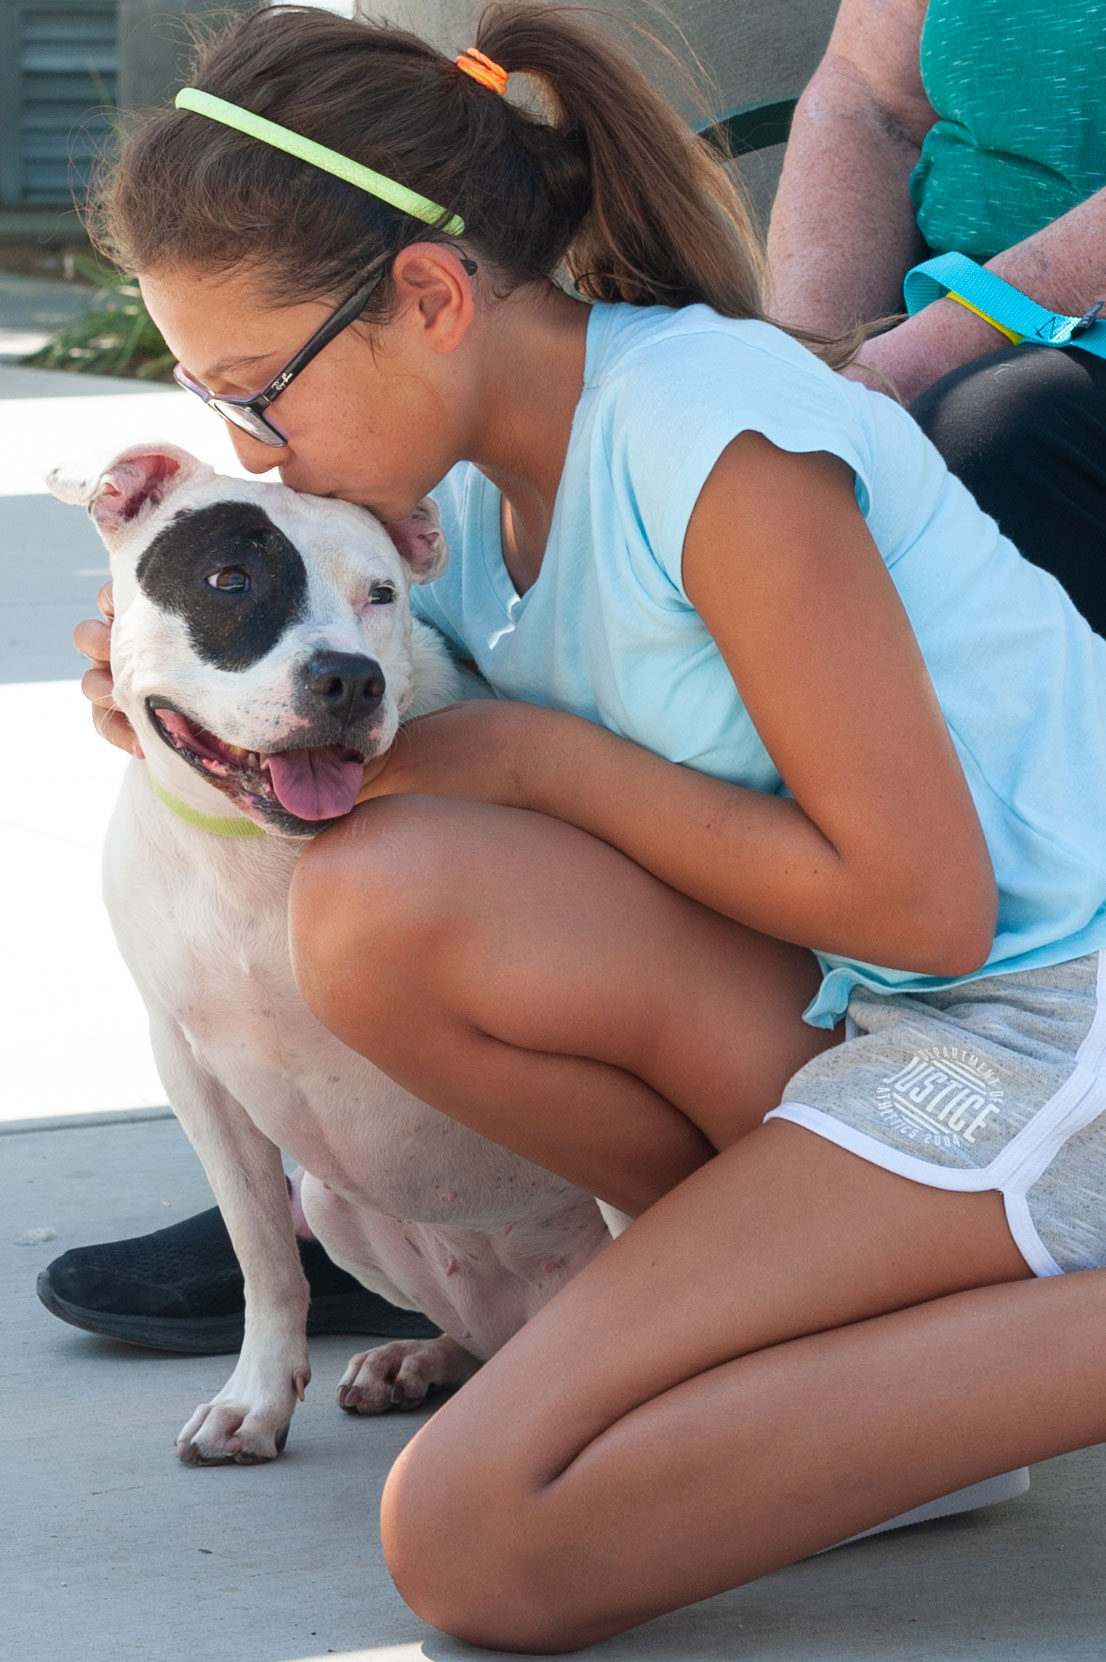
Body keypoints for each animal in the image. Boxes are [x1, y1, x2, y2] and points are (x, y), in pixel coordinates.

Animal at [51, 445, 612, 1469]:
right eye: (230, 579)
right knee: (473, 1331)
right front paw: (256, 1398)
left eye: (381, 594)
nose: (349, 679)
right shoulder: (191, 1068)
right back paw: (419, 1357)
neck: (261, 855)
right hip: (340, 1208)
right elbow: (263, 1254)